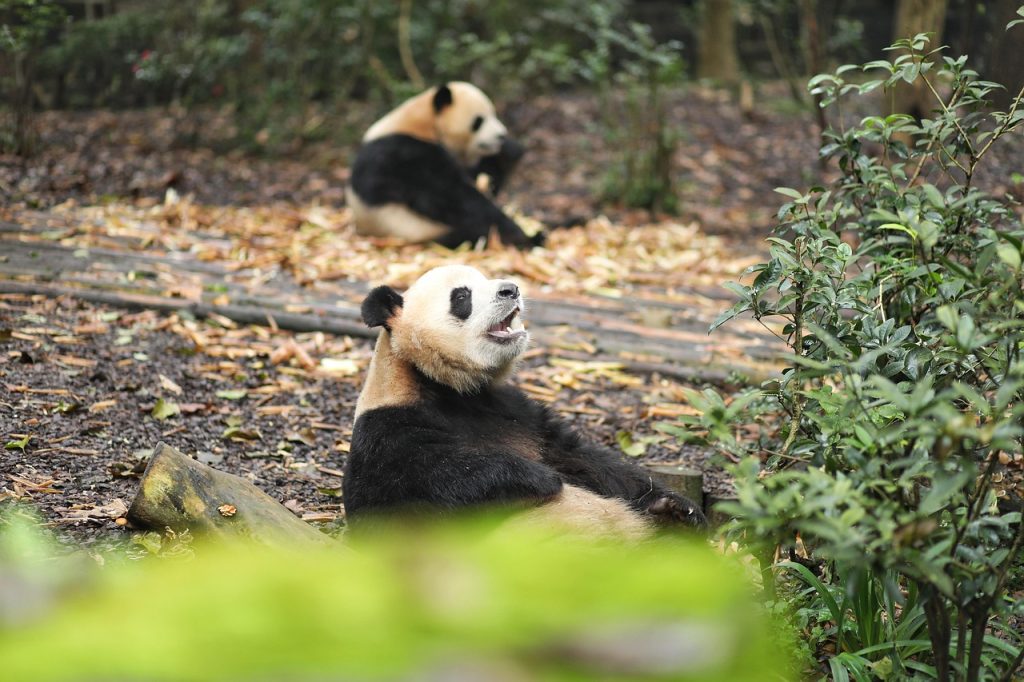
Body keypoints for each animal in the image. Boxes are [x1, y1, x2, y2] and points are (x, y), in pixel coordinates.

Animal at [342, 264, 707, 540]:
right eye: (462, 296)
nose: (511, 289)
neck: (446, 385)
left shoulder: (518, 412)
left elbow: (581, 457)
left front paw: (677, 506)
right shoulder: (388, 428)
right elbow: (435, 480)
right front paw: (539, 477)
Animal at [347, 82, 540, 250]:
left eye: (494, 114)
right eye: (479, 121)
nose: (501, 135)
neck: (422, 122)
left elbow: (480, 180)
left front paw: (509, 150)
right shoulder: (402, 152)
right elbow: (448, 195)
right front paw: (519, 233)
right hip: (413, 228)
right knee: (470, 233)